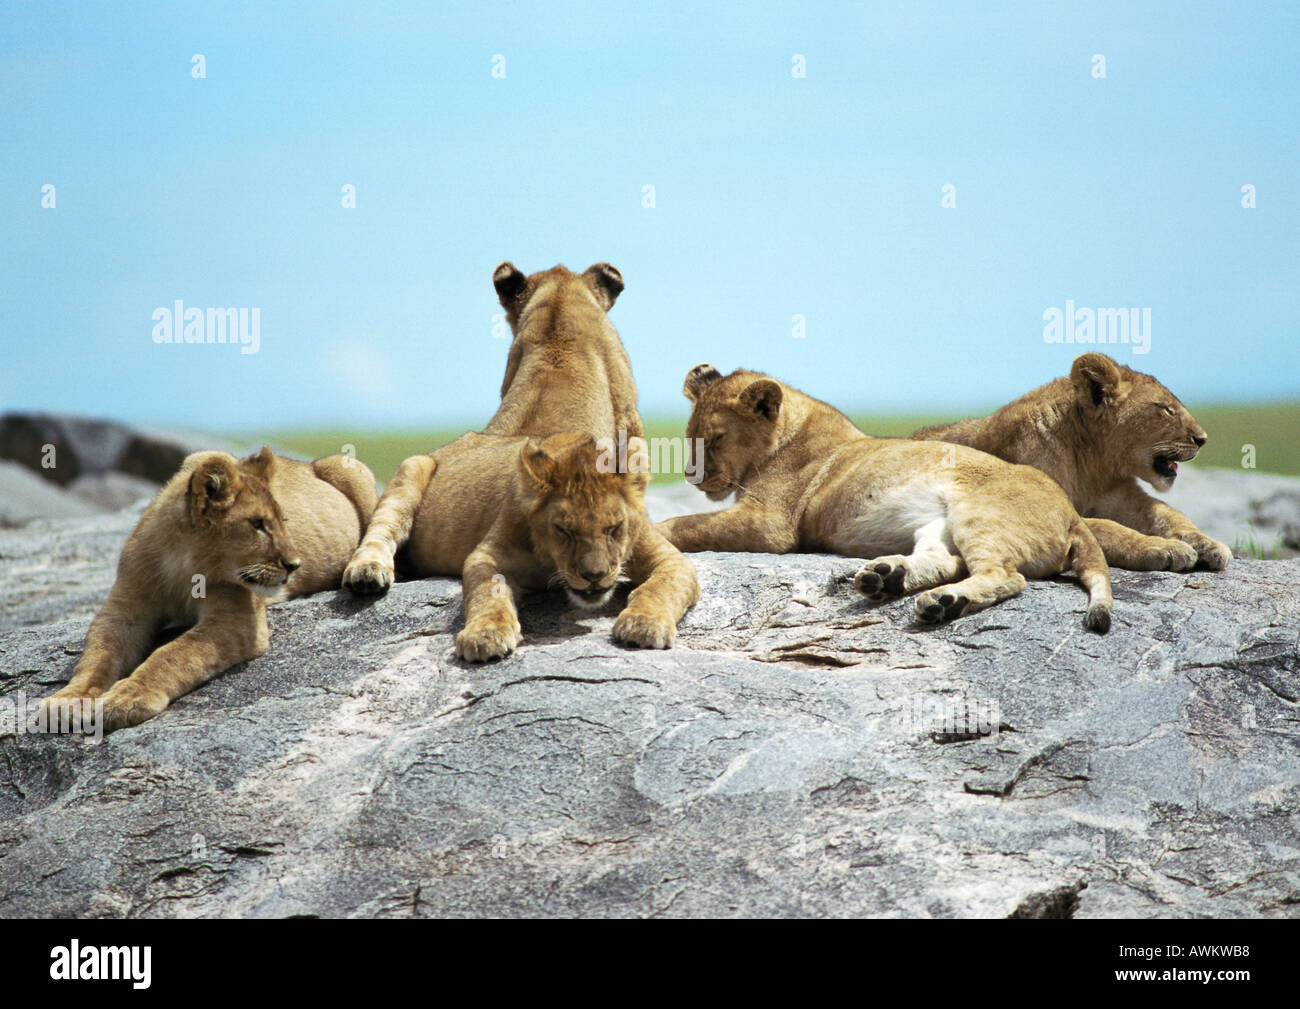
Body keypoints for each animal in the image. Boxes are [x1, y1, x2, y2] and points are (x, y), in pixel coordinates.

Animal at [46, 446, 378, 731]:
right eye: (258, 524)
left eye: (284, 521)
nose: (294, 565)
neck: (181, 564)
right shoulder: (124, 609)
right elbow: (98, 655)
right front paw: (68, 700)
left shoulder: (239, 618)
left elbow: (174, 653)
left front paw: (127, 697)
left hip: (351, 469)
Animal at [343, 262, 699, 658]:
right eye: (563, 530)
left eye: (613, 528)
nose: (593, 577)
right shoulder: (486, 556)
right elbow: (489, 590)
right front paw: (485, 635)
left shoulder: (668, 557)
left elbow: (662, 585)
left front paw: (644, 623)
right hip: (413, 467)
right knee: (381, 529)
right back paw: (368, 572)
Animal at [656, 365, 1113, 632]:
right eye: (690, 435)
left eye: (716, 438)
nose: (691, 477)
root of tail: (1073, 515)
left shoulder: (770, 524)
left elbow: (683, 523)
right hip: (939, 525)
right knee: (945, 560)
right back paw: (891, 579)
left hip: (978, 512)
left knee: (1006, 576)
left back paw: (938, 601)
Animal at [912, 352, 1231, 571]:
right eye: (1166, 410)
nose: (1202, 439)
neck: (1093, 465)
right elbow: (1107, 528)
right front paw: (1165, 548)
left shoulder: (1124, 496)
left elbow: (1168, 513)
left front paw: (1207, 543)